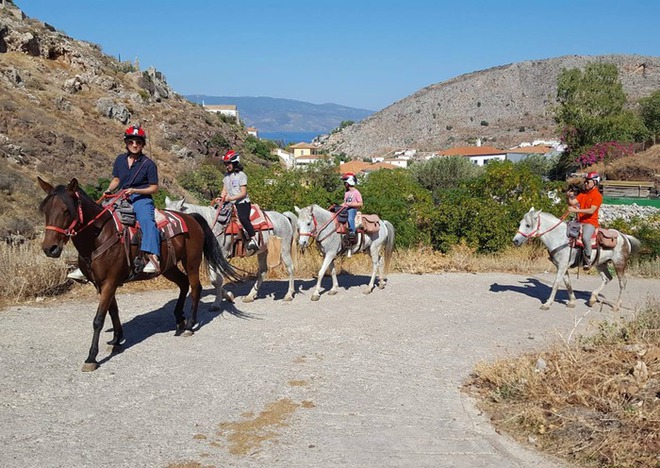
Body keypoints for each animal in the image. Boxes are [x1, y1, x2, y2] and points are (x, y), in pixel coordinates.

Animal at [37, 177, 238, 372]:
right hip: (168, 267)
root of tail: (191, 218)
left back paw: (189, 325)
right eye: (45, 210)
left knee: (195, 288)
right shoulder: (102, 284)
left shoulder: (109, 282)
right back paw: (179, 319)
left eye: (66, 211)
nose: (49, 248)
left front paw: (91, 357)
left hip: (191, 263)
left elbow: (98, 319)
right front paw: (117, 340)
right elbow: (113, 311)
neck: (100, 235)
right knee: (183, 284)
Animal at [165, 197, 300, 308]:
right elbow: (214, 280)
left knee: (291, 268)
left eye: (174, 221)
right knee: (262, 272)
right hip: (263, 251)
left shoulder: (222, 256)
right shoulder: (212, 258)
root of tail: (284, 217)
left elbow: (218, 280)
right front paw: (228, 296)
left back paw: (288, 295)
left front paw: (216, 303)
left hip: (284, 249)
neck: (212, 225)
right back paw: (250, 296)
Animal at [512, 207, 640, 310]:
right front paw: (572, 302)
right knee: (607, 278)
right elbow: (567, 283)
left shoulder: (562, 266)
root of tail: (624, 237)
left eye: (528, 225)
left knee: (622, 282)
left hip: (619, 263)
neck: (559, 237)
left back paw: (616, 306)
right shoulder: (561, 266)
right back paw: (592, 299)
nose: (515, 241)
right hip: (600, 264)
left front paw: (547, 304)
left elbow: (556, 283)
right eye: (520, 223)